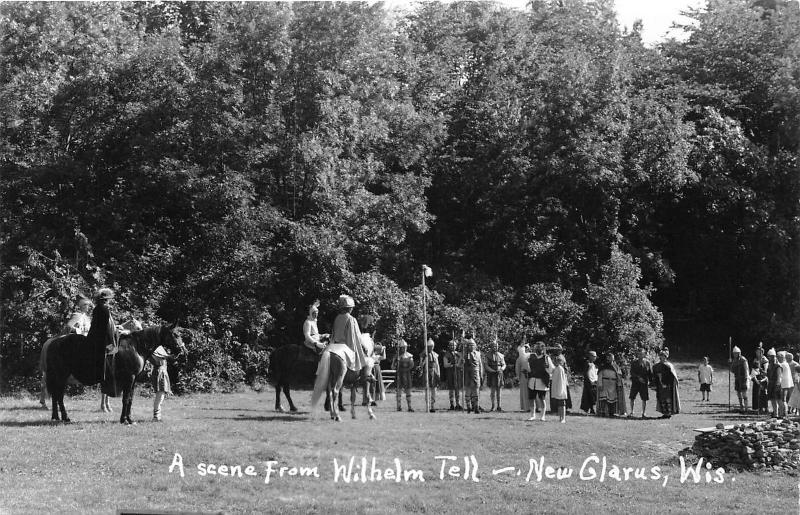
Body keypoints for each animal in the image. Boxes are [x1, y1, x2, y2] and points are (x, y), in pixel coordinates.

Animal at [46, 324, 184, 426]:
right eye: (175, 334)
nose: (182, 350)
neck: (136, 347)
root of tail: (54, 342)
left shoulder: (133, 380)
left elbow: (130, 399)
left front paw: (128, 419)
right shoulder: (129, 378)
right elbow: (126, 399)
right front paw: (125, 420)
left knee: (56, 396)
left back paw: (56, 417)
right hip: (61, 376)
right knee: (59, 397)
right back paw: (65, 417)